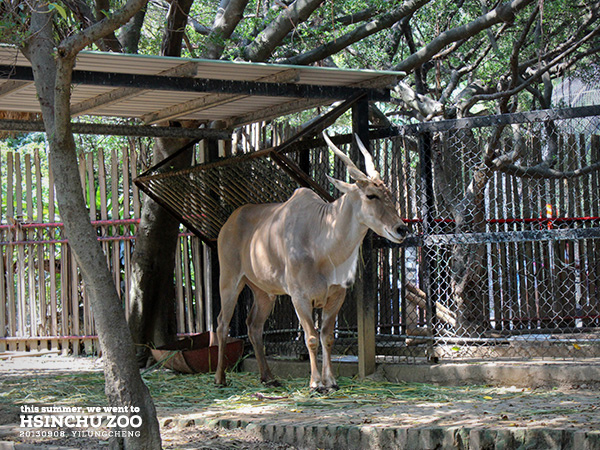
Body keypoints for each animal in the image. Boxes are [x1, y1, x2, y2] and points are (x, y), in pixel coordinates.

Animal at [216, 132, 408, 392]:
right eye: (371, 195)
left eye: (390, 194)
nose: (401, 229)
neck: (321, 242)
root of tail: (228, 223)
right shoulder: (300, 298)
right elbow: (311, 338)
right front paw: (316, 383)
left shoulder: (336, 297)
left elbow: (327, 337)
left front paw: (331, 382)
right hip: (230, 281)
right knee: (222, 324)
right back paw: (220, 378)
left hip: (264, 292)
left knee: (254, 326)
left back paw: (268, 377)